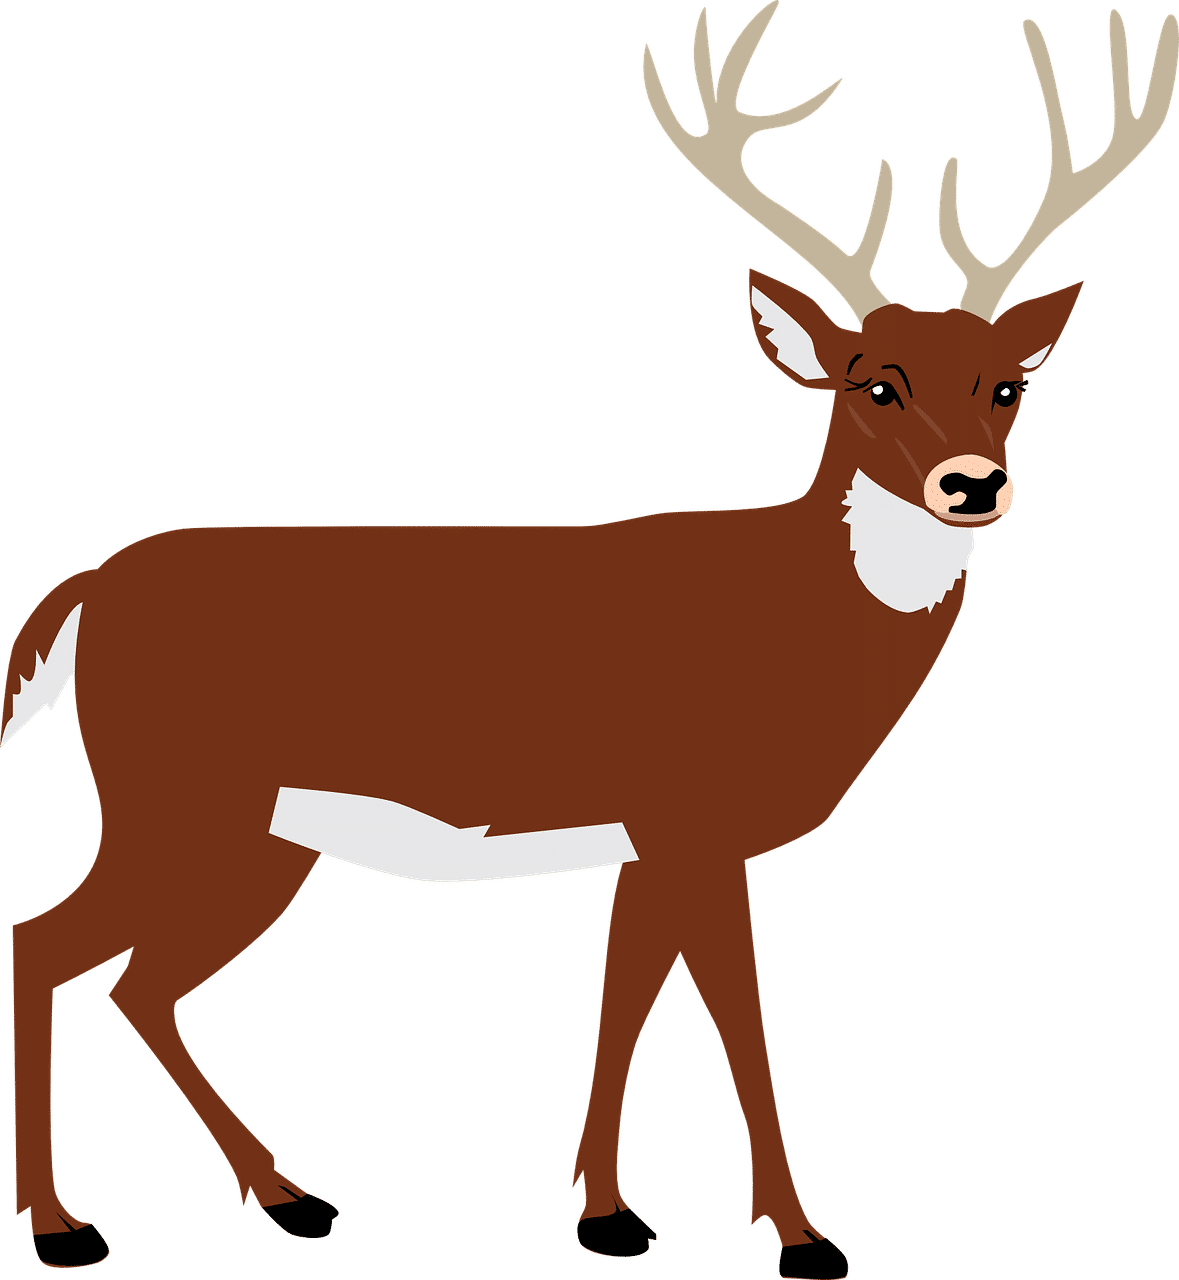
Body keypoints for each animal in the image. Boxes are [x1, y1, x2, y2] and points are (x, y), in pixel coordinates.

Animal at [5, 3, 1176, 1276]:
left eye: (1009, 385)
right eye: (873, 383)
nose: (974, 484)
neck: (791, 622)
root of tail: (88, 590)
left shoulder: (646, 836)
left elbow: (624, 1000)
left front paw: (607, 1212)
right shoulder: (694, 813)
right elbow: (738, 1015)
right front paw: (803, 1234)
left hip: (255, 835)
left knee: (136, 984)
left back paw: (289, 1194)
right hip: (176, 797)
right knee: (47, 944)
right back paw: (69, 1225)